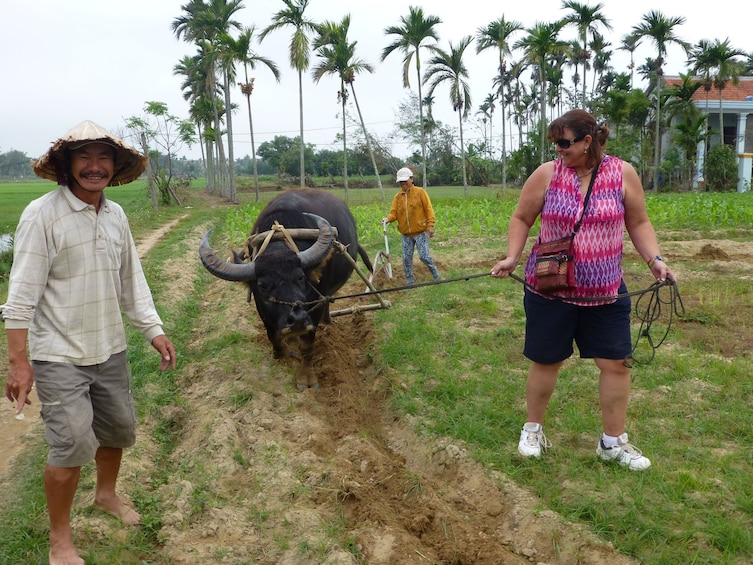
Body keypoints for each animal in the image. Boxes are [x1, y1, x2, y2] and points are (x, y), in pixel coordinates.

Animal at [197, 189, 368, 388]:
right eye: (262, 286)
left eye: (301, 277)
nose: (298, 319)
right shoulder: (263, 310)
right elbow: (273, 336)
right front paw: (280, 356)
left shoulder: (313, 308)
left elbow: (307, 344)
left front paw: (306, 378)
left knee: (327, 303)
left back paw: (327, 323)